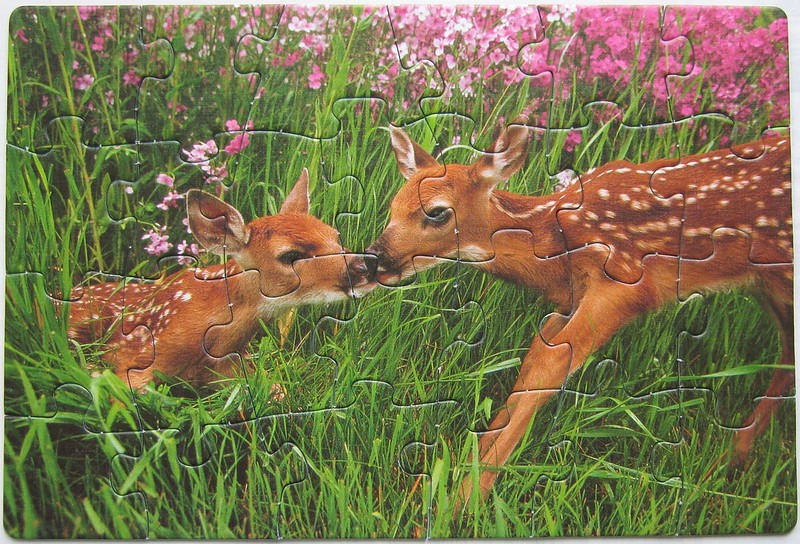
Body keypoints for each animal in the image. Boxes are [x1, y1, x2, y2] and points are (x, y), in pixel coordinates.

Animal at [365, 119, 793, 507]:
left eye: (437, 212)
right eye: (393, 206)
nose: (374, 259)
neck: (556, 242)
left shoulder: (624, 283)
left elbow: (550, 369)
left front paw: (465, 500)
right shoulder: (569, 299)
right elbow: (533, 362)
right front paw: (453, 474)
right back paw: (731, 460)